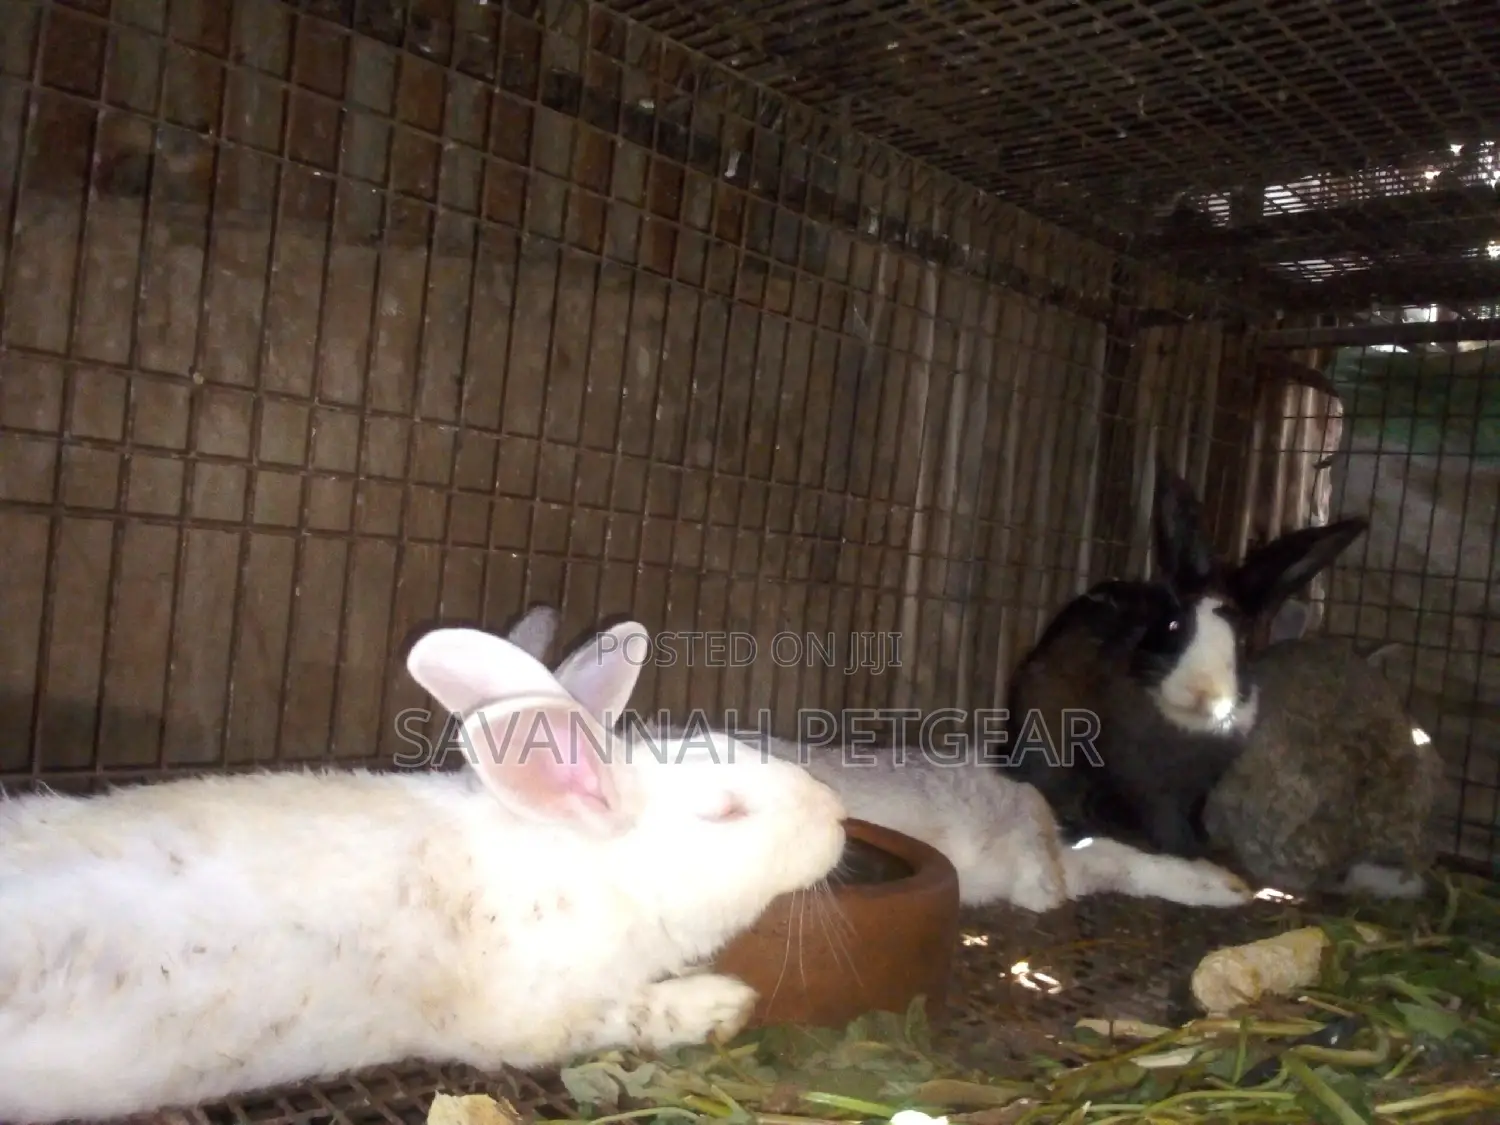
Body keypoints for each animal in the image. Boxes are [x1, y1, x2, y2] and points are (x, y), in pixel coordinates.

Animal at [0, 620, 847, 1125]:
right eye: (726, 810)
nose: (839, 815)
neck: (590, 869)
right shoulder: (528, 1016)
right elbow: (625, 1015)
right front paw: (722, 1003)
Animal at [999, 459, 1371, 862]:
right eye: (1173, 625)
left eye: (1243, 642)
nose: (1202, 692)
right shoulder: (1143, 782)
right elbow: (1159, 814)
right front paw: (1179, 850)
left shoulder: (1198, 789)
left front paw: (1197, 845)